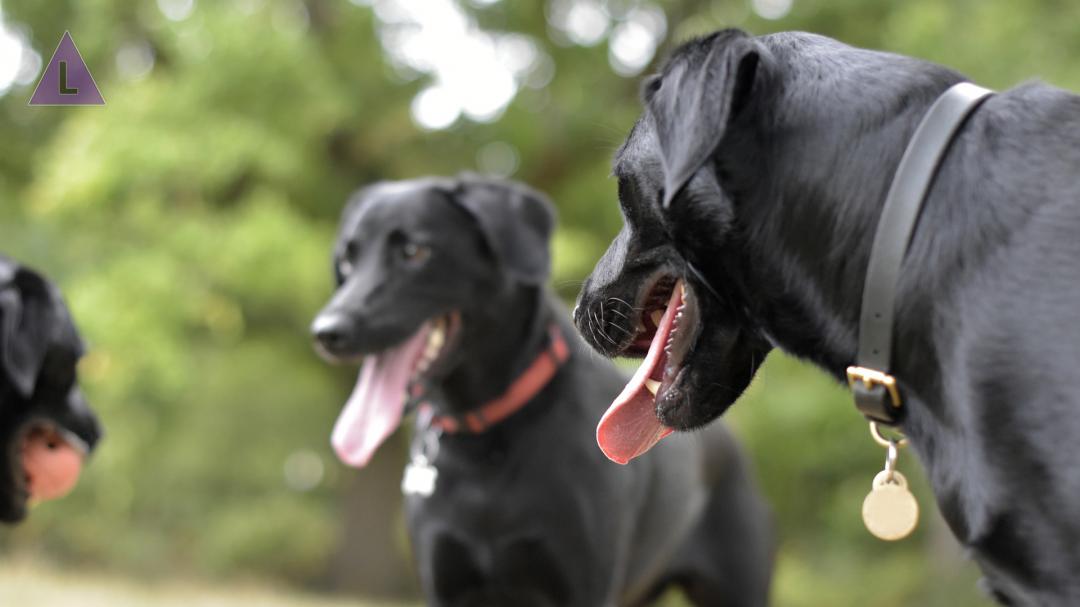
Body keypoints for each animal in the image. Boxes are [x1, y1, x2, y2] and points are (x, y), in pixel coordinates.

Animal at [308, 174, 773, 604]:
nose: (327, 333)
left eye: (414, 252)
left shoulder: (584, 586)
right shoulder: (443, 585)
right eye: (347, 260)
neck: (483, 441)